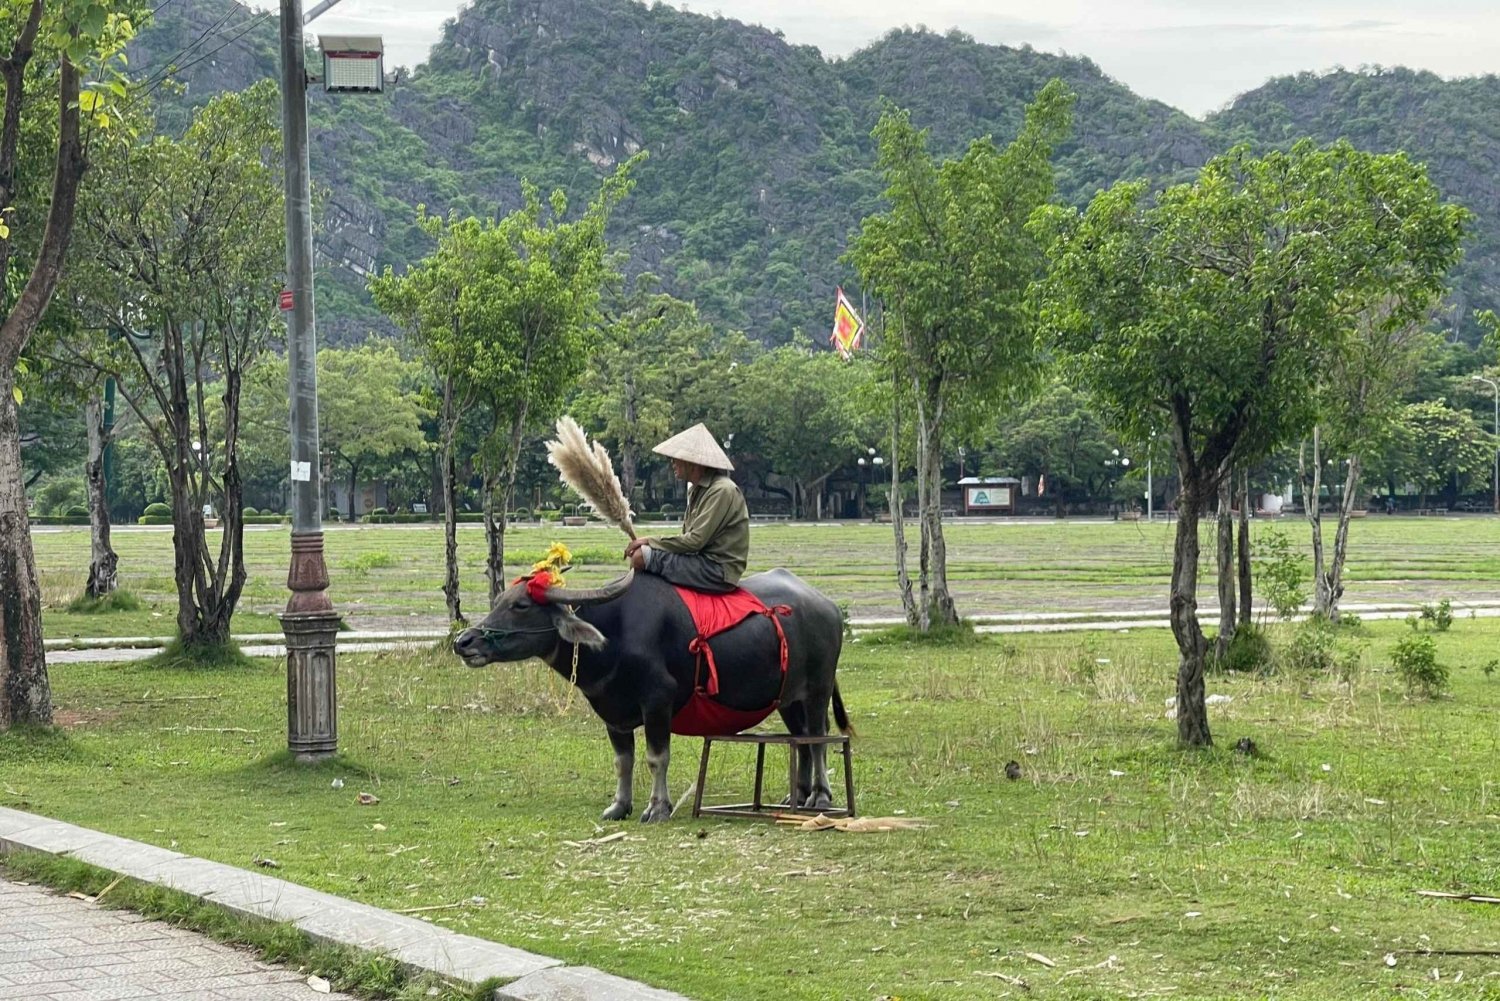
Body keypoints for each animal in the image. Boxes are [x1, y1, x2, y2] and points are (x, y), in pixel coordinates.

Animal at [450, 567, 852, 828]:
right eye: (499, 600)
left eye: (521, 606)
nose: (464, 642)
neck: (614, 636)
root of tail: (828, 605)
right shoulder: (612, 713)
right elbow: (622, 761)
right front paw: (619, 806)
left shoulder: (658, 703)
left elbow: (656, 758)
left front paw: (657, 809)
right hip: (787, 699)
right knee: (801, 740)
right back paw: (797, 795)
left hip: (816, 690)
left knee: (819, 739)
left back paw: (821, 797)